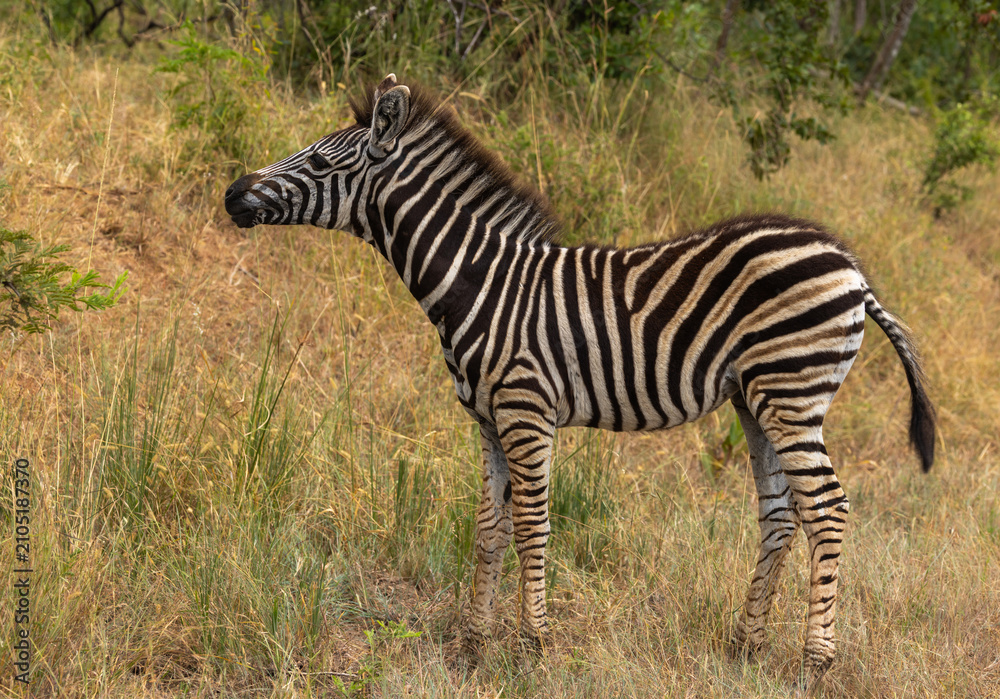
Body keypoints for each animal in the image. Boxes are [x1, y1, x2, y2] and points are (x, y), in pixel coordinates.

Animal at [224, 74, 935, 693]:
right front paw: (473, 648)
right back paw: (745, 647)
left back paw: (813, 665)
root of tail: (851, 268)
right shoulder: (487, 420)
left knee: (828, 508)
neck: (480, 282)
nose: (232, 193)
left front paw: (533, 647)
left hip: (792, 391)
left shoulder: (525, 410)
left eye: (320, 163)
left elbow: (533, 523)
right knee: (782, 512)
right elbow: (488, 526)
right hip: (756, 400)